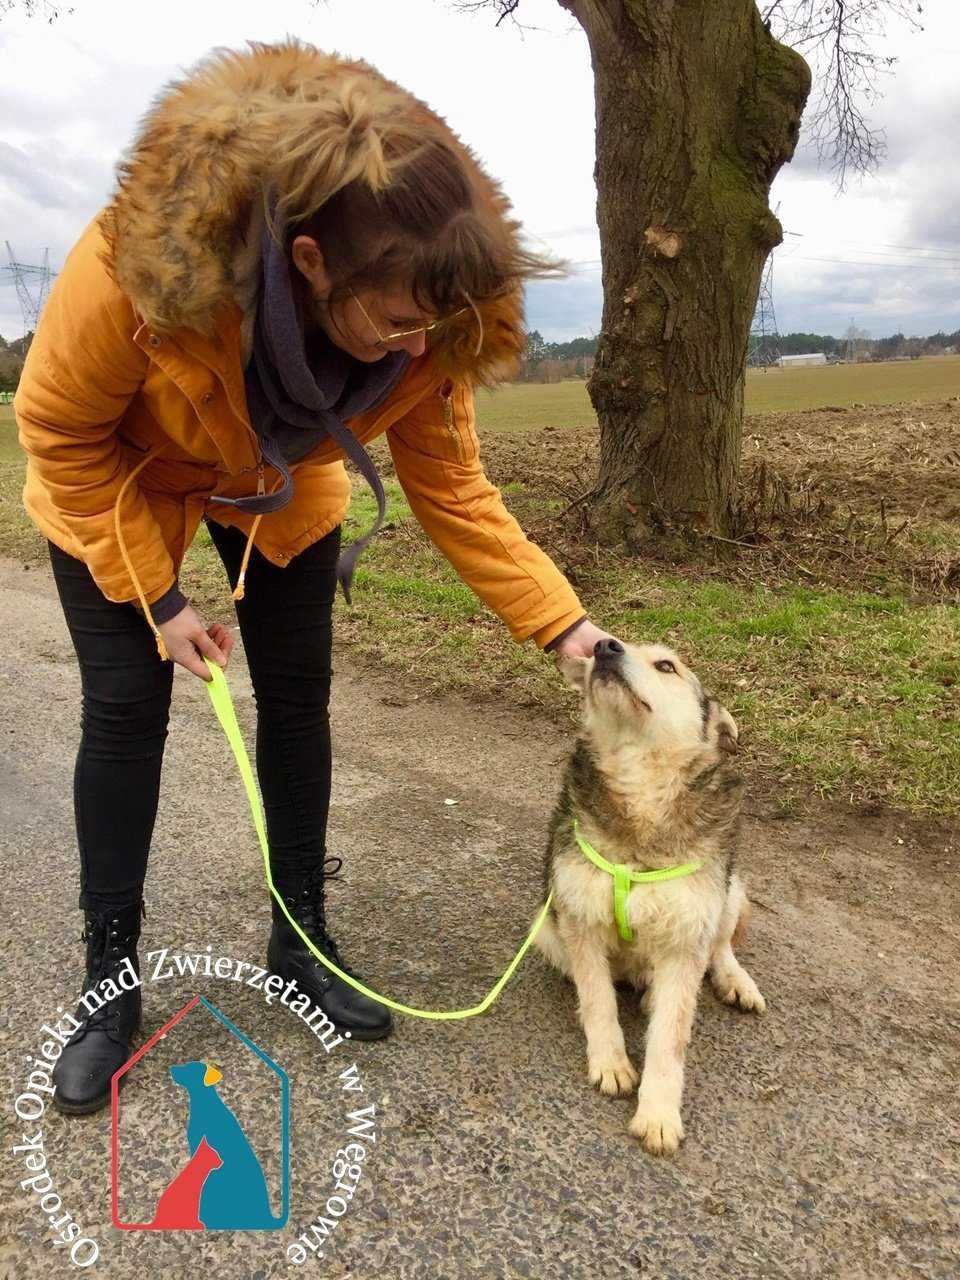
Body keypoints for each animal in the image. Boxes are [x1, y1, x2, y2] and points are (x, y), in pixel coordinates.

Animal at [535, 634, 768, 1157]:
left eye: (666, 666)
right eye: (599, 651)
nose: (603, 646)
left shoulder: (686, 937)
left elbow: (670, 1040)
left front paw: (658, 1115)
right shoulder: (579, 917)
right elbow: (599, 1000)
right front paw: (610, 1063)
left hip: (731, 889)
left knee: (720, 948)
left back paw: (734, 981)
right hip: (543, 924)